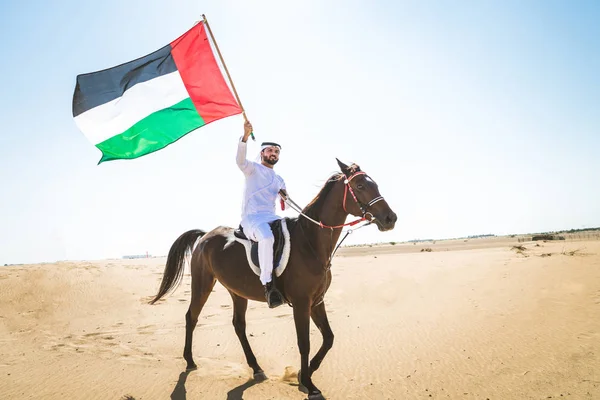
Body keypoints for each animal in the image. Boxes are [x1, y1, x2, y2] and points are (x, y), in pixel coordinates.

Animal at [148, 158, 396, 398]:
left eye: (374, 184)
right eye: (360, 185)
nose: (390, 218)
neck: (310, 242)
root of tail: (205, 236)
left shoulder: (316, 301)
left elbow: (328, 338)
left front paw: (303, 374)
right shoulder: (301, 303)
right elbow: (304, 343)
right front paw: (309, 384)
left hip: (237, 292)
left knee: (238, 325)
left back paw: (256, 367)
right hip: (202, 284)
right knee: (191, 317)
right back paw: (190, 361)